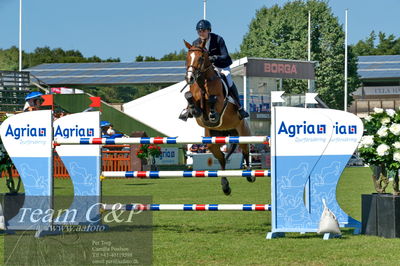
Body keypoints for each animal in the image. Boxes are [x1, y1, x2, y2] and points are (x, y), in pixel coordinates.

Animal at [184, 38, 253, 194]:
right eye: (187, 57)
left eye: (200, 58)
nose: (190, 78)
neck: (203, 81)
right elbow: (189, 96)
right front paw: (191, 110)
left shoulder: (220, 102)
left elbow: (213, 99)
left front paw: (213, 114)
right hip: (212, 140)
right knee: (222, 159)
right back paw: (225, 186)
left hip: (243, 133)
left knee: (245, 152)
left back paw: (250, 174)